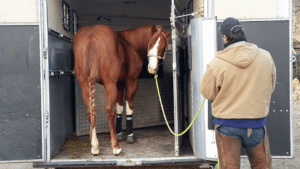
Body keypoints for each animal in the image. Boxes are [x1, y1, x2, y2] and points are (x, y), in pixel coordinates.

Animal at [73, 24, 171, 155]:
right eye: (150, 44)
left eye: (164, 47)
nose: (152, 69)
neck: (130, 44)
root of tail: (91, 34)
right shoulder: (131, 82)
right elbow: (129, 107)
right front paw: (130, 135)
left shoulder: (118, 84)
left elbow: (119, 107)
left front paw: (119, 133)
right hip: (109, 84)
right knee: (109, 110)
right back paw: (116, 146)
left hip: (85, 84)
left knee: (90, 111)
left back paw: (95, 146)